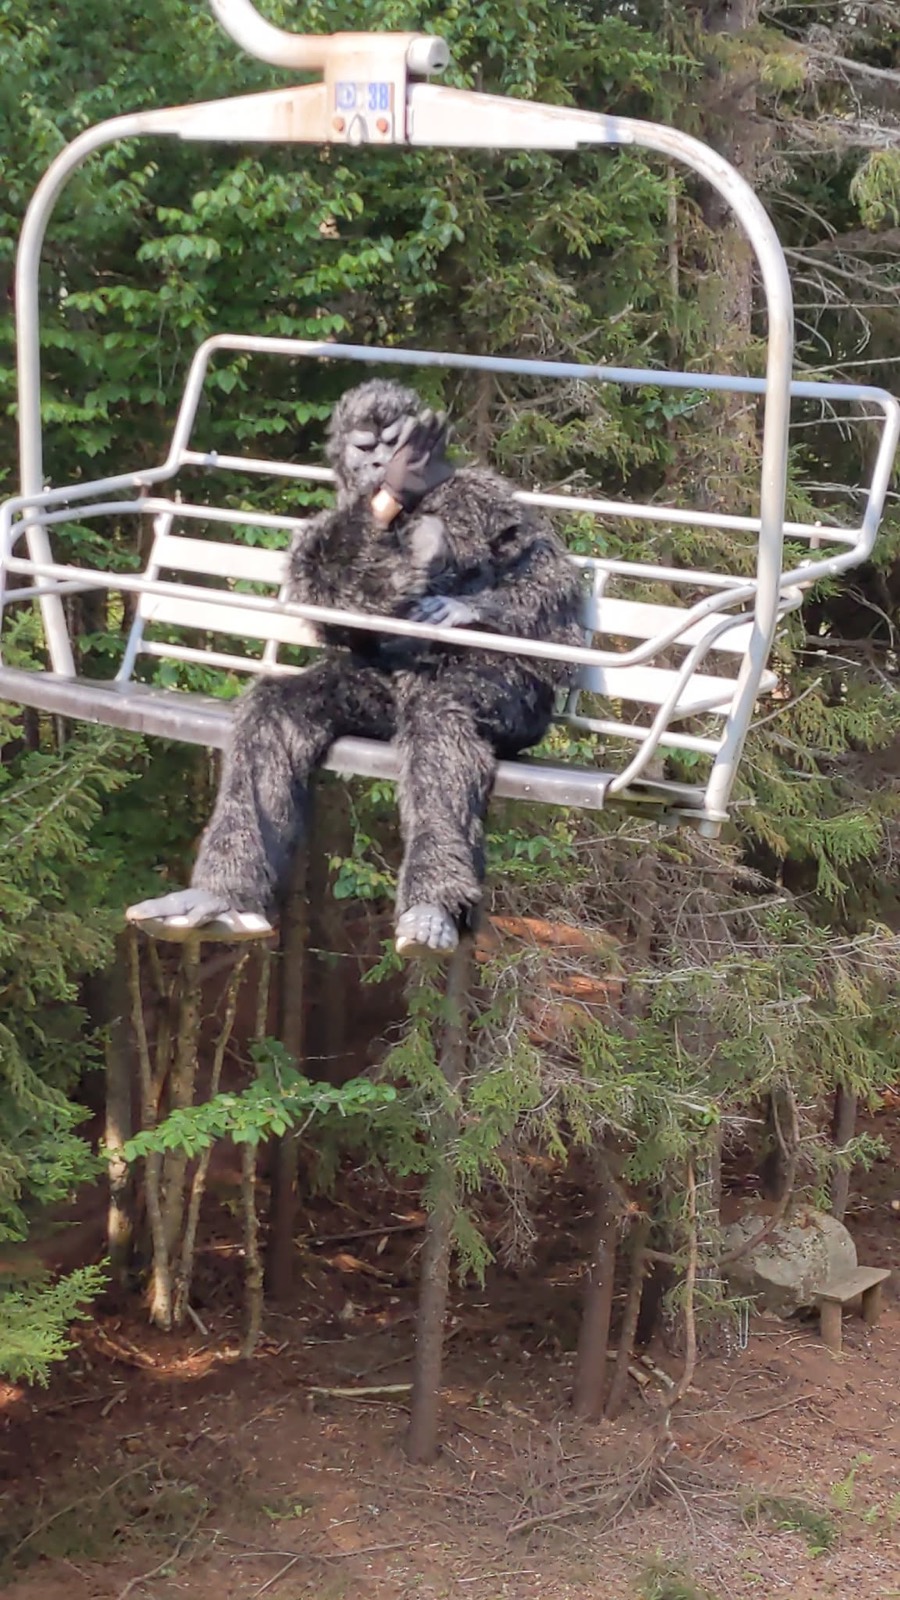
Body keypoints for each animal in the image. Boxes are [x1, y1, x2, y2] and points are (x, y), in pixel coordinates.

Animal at [126, 379, 584, 958]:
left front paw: (459, 603)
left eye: (392, 440)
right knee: (274, 713)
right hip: (371, 695)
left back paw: (432, 906)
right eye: (366, 448)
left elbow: (546, 577)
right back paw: (218, 896)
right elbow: (323, 589)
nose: (385, 464)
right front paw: (394, 506)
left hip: (509, 707)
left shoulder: (493, 499)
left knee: (442, 726)